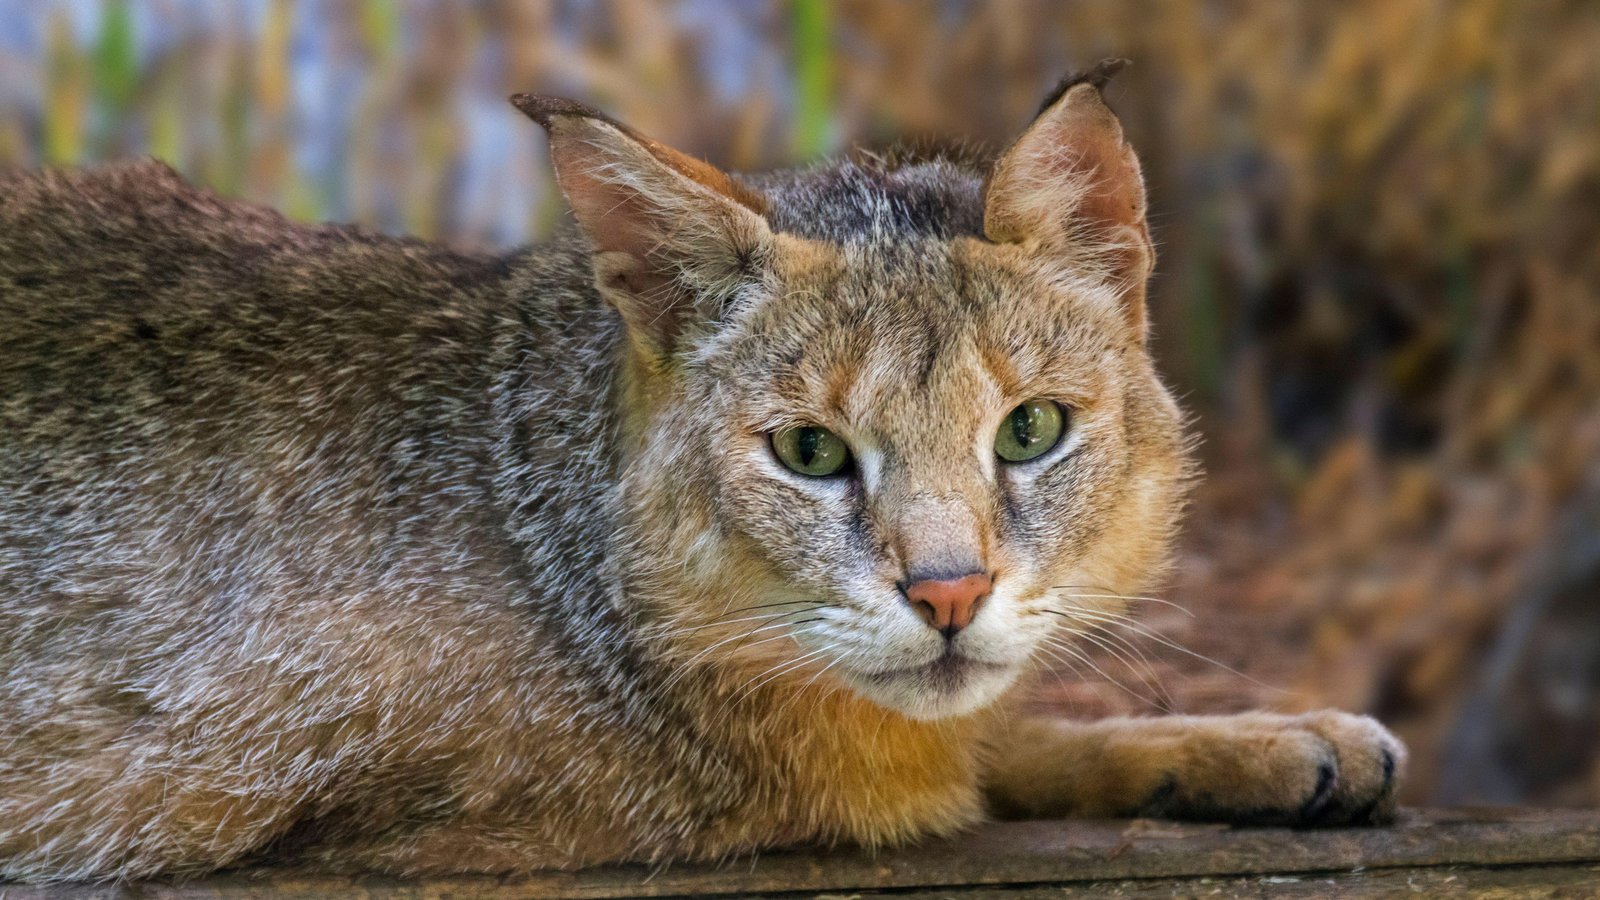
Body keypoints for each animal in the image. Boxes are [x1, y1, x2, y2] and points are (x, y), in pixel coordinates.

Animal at [0, 59, 1401, 877]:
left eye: (1028, 432)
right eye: (810, 453)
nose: (949, 595)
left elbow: (996, 730)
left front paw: (1268, 738)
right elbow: (941, 770)